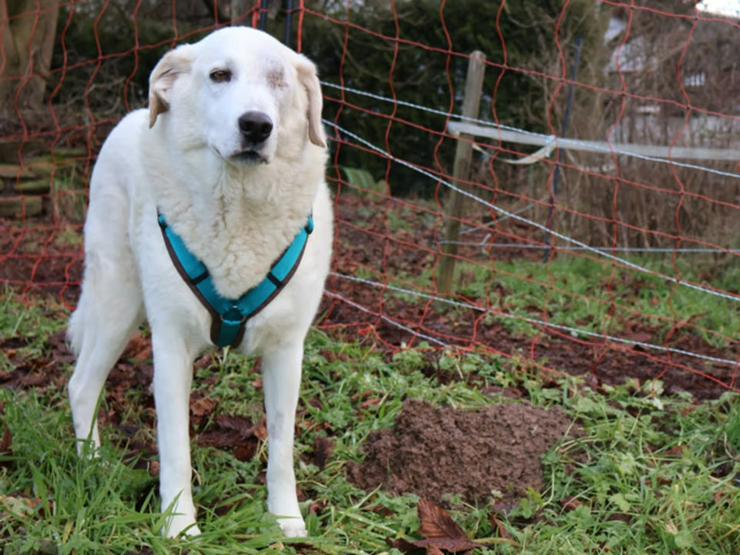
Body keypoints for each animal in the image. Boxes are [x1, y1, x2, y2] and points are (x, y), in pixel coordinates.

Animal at [66, 26, 332, 540]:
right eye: (220, 75)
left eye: (279, 80)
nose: (257, 126)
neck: (239, 206)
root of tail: (134, 116)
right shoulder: (171, 348)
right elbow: (175, 449)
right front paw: (179, 527)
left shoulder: (287, 351)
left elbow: (282, 448)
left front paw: (286, 521)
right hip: (117, 302)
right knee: (82, 384)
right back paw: (93, 467)